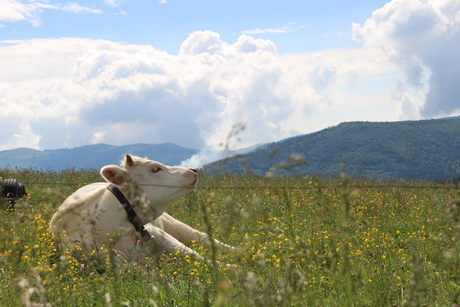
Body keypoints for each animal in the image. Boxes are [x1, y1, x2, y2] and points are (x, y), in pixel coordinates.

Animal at [50, 155, 235, 264]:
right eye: (155, 169)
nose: (193, 170)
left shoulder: (156, 232)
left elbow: (195, 255)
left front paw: (230, 266)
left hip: (173, 224)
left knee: (202, 237)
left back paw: (238, 250)